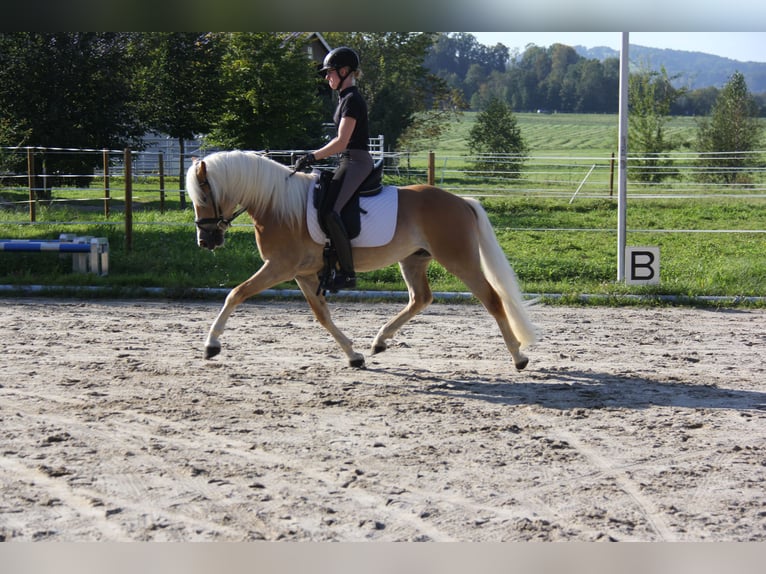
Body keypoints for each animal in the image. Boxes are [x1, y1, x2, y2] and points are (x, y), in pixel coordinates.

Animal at [186, 151, 536, 372]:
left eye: (203, 196)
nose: (205, 241)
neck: (276, 204)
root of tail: (461, 202)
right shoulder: (302, 273)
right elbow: (322, 315)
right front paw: (353, 356)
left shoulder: (279, 267)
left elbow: (236, 293)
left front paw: (211, 344)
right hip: (413, 261)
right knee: (420, 298)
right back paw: (380, 341)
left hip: (459, 259)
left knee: (492, 299)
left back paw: (518, 357)